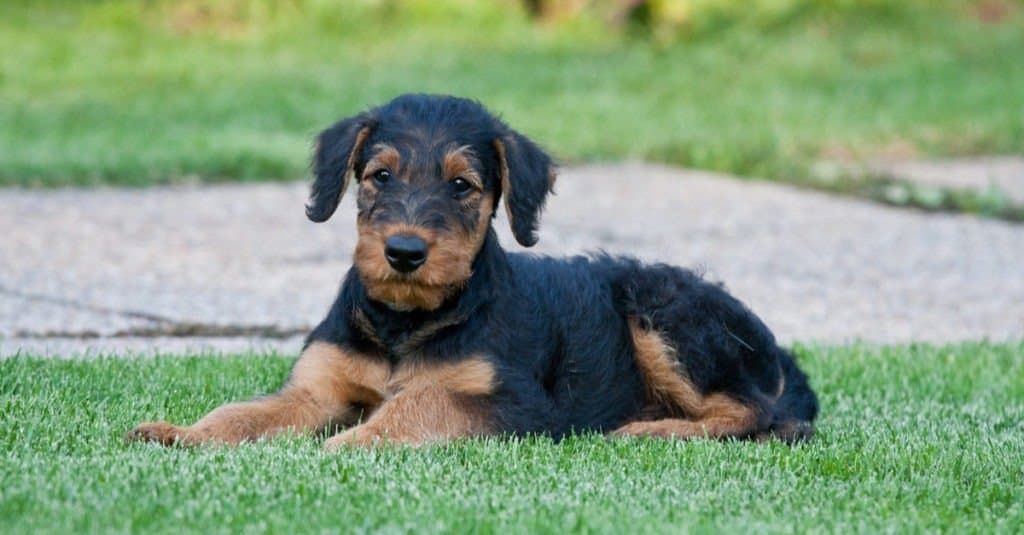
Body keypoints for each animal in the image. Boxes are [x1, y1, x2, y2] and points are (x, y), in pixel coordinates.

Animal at [125, 93, 815, 446]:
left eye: (462, 185)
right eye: (380, 175)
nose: (405, 252)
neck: (406, 320)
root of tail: (779, 352)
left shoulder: (513, 402)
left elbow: (419, 405)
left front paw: (351, 442)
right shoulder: (315, 388)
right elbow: (240, 413)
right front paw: (177, 431)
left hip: (665, 315)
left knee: (757, 413)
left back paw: (650, 430)